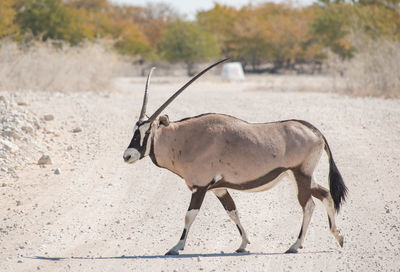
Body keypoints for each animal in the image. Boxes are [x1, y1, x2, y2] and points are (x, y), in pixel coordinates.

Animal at [122, 59, 346, 255]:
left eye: (147, 131)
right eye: (135, 130)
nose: (127, 155)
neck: (187, 139)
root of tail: (315, 131)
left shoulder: (200, 187)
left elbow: (189, 215)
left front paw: (176, 247)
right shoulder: (218, 188)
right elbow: (232, 212)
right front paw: (243, 244)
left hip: (301, 175)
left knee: (308, 205)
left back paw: (295, 245)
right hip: (300, 176)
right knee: (325, 194)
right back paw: (338, 236)